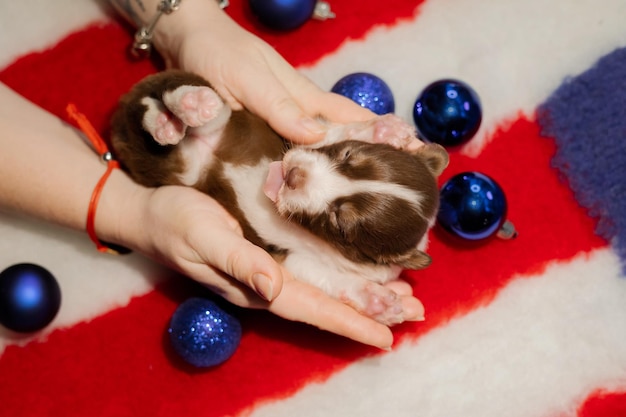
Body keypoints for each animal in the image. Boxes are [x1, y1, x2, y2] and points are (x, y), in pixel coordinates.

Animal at [109, 70, 446, 324]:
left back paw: (172, 121)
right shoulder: (305, 135)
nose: (295, 174)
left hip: (163, 165)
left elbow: (330, 278)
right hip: (192, 113)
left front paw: (378, 302)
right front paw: (385, 129)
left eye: (340, 222)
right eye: (348, 155)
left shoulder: (299, 260)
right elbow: (329, 131)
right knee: (161, 102)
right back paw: (190, 105)